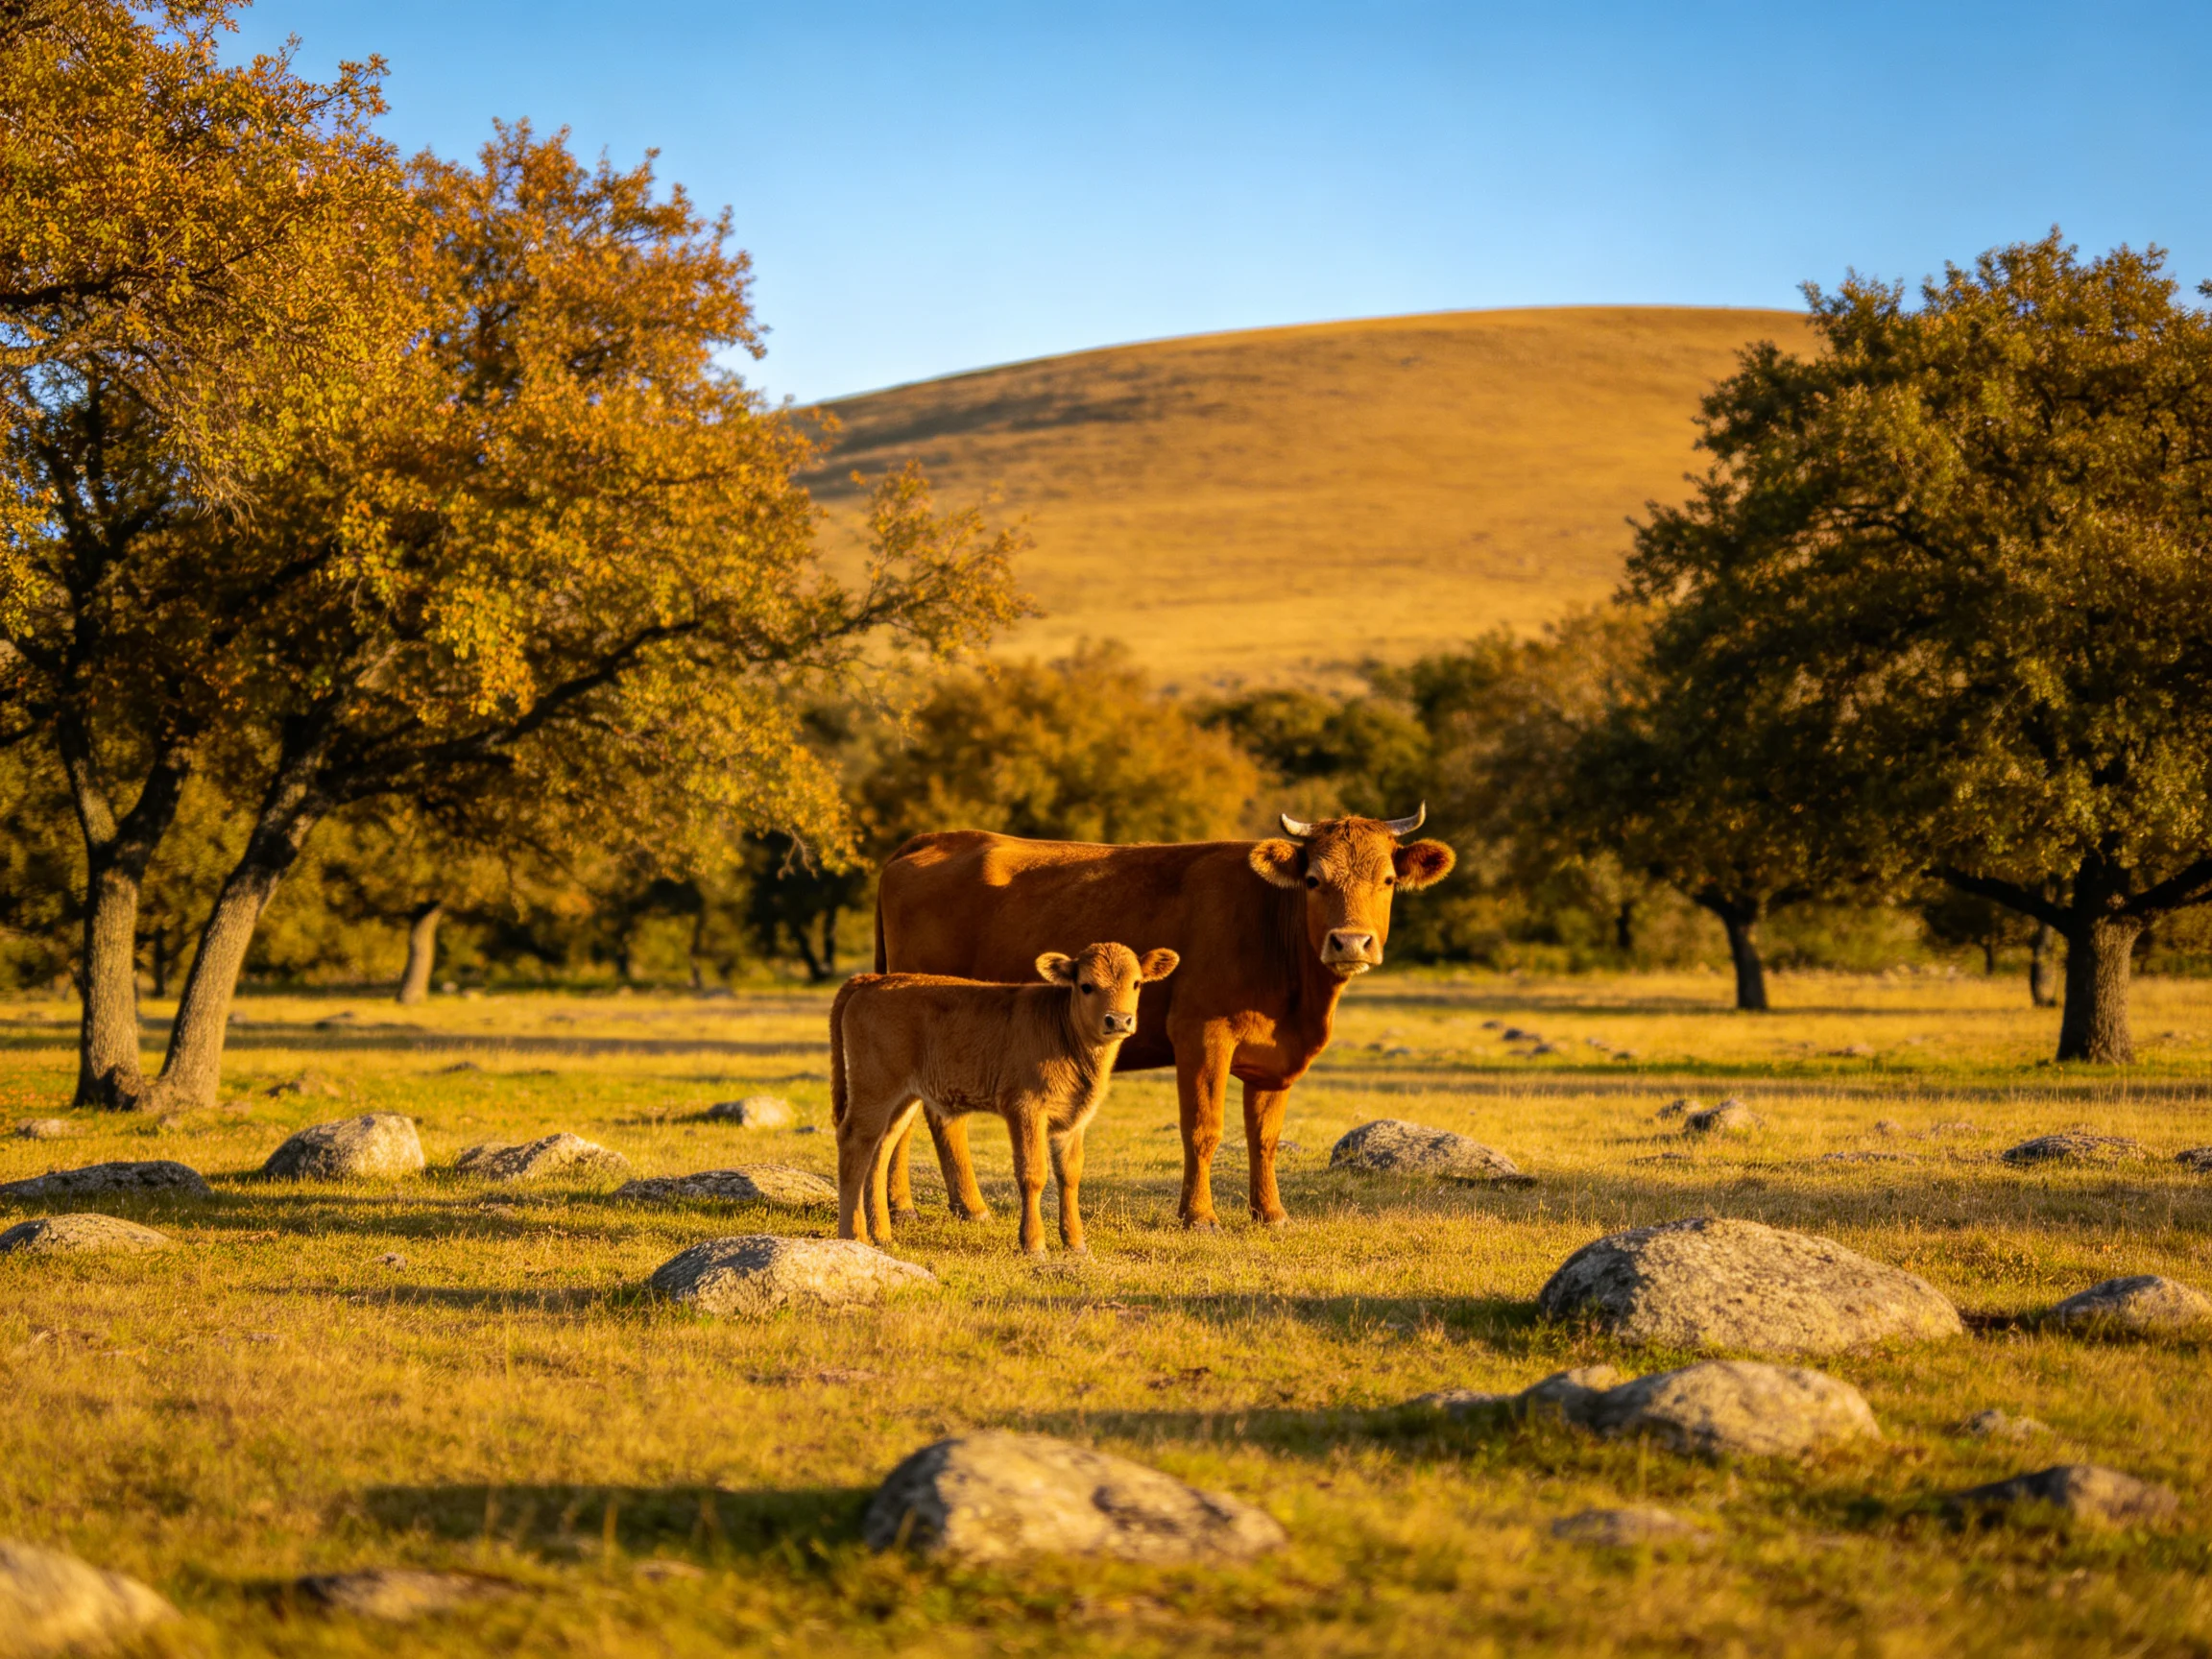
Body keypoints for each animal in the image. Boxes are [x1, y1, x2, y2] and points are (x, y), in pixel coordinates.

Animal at [829, 941, 1180, 1253]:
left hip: (903, 1098)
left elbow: (1070, 1175)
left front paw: (1077, 1244)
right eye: (1086, 986)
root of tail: (875, 980)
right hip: (874, 1088)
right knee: (855, 1144)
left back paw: (882, 1236)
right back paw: (853, 1236)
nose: (1118, 1020)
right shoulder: (1025, 1108)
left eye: (1136, 983)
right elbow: (1033, 1173)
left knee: (880, 1149)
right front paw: (1034, 1245)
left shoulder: (1074, 1120)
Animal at [873, 808, 1454, 1230]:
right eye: (1313, 879)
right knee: (932, 1116)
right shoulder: (1201, 1033)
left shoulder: (1274, 1058)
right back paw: (959, 1206)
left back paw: (913, 1206)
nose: (1350, 942)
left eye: (1387, 880)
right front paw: (1199, 1216)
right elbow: (1204, 1128)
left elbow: (1264, 1135)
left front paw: (1271, 1213)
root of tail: (939, 838)